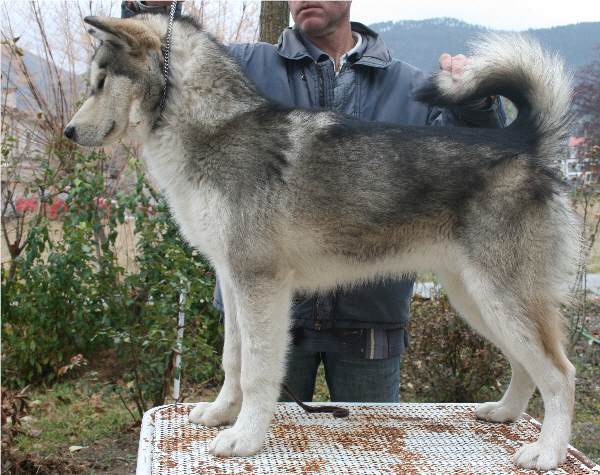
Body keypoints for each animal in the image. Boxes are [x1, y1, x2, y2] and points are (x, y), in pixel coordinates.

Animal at [64, 13, 580, 470]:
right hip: (476, 301)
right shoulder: (232, 281)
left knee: (561, 374)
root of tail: (520, 143)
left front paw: (245, 438)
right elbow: (233, 360)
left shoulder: (260, 283)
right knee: (525, 367)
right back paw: (505, 413)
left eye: (100, 81)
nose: (68, 131)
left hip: (501, 299)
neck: (216, 127)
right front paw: (221, 414)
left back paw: (548, 452)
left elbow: (257, 371)